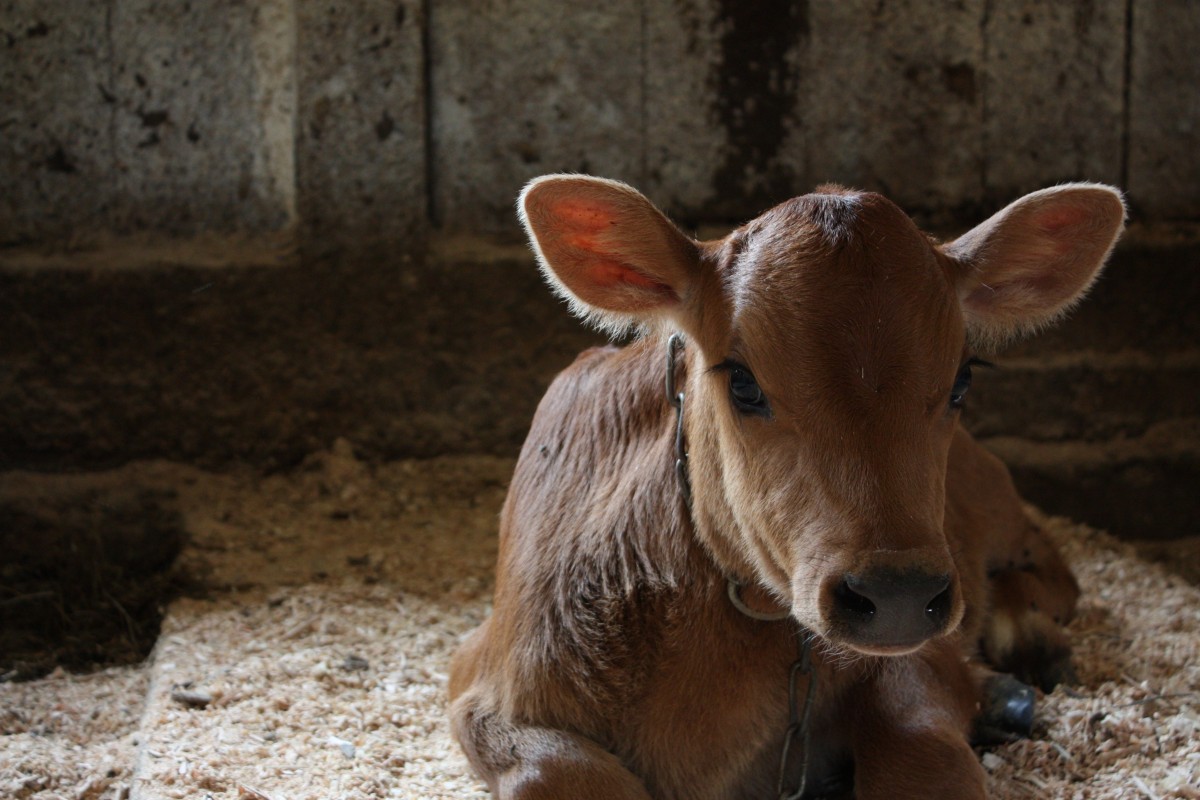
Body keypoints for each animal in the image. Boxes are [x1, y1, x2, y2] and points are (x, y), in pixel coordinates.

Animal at [451, 176, 1123, 800]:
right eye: (743, 383)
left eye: (962, 380)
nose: (897, 596)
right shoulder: (484, 678)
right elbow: (560, 767)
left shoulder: (920, 658)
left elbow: (920, 746)